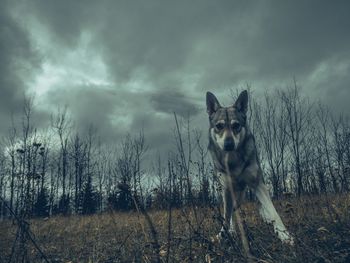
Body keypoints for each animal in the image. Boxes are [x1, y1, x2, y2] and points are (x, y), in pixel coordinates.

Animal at [205, 90, 292, 245]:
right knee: (231, 213)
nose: (228, 144)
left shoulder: (258, 184)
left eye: (236, 125)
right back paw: (232, 231)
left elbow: (273, 210)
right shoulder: (227, 189)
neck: (233, 160)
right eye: (219, 126)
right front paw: (222, 236)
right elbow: (226, 217)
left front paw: (284, 234)